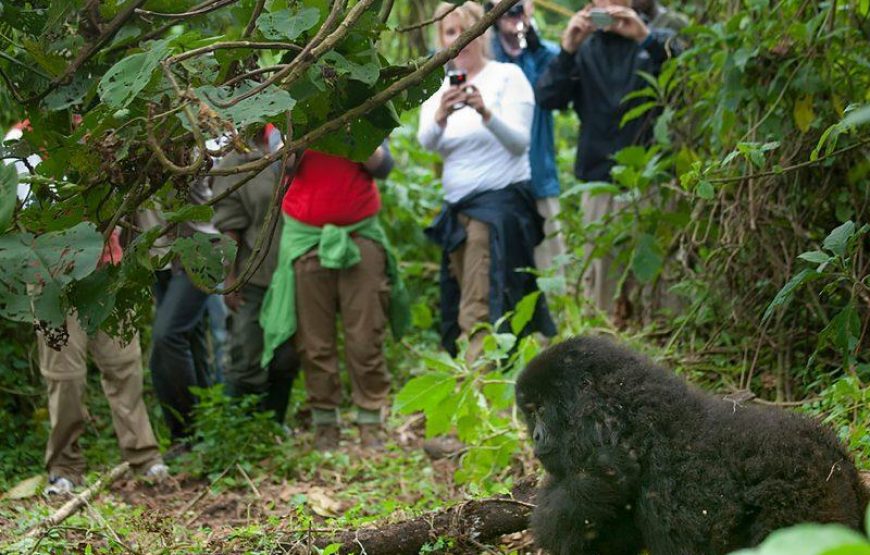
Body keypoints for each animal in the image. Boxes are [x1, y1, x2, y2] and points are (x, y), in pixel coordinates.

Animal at [516, 336, 868, 552]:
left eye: (540, 410)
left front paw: (603, 471)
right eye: (530, 413)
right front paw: (602, 477)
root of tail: (843, 463)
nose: (536, 437)